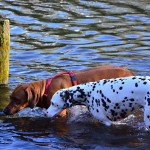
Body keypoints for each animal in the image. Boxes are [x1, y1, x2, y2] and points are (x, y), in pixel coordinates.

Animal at [3, 64, 135, 116]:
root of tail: (132, 73)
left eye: (16, 99)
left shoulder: (60, 113)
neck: (45, 90)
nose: (3, 111)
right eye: (10, 97)